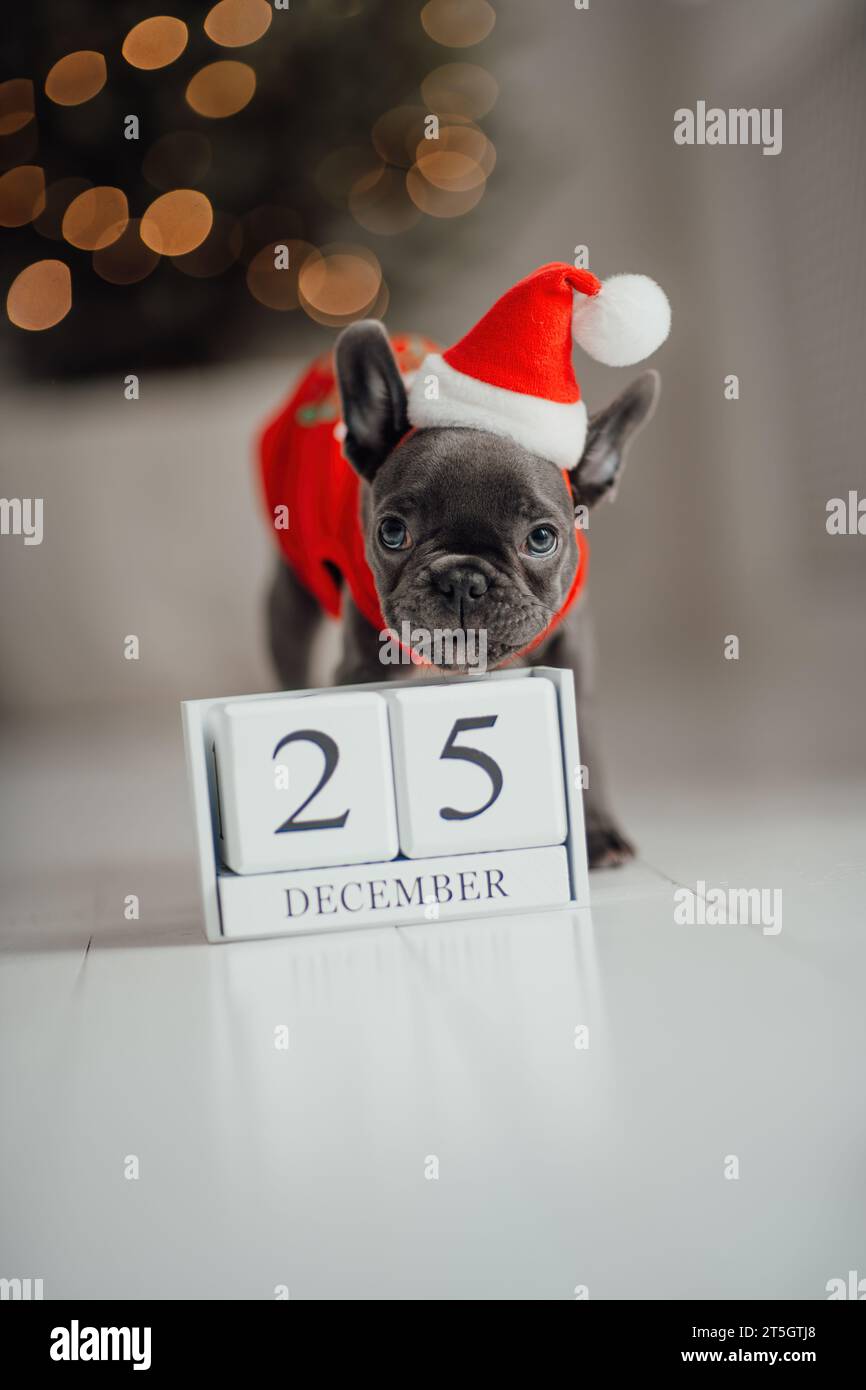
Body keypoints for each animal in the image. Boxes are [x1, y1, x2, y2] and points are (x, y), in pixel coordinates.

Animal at [268, 323, 661, 867]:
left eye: (542, 538)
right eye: (392, 532)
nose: (463, 581)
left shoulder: (572, 654)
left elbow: (581, 739)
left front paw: (597, 834)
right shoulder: (362, 664)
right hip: (292, 595)